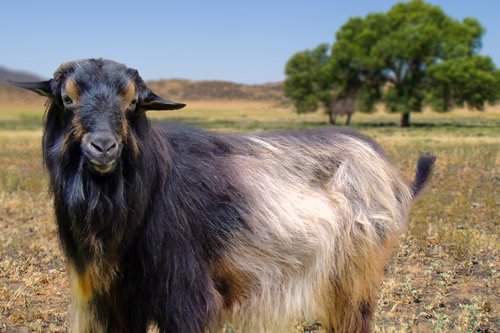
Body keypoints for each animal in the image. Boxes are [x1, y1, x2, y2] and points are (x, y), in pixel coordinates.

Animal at [10, 57, 434, 332]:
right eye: (67, 99)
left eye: (132, 103)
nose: (103, 147)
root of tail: (394, 178)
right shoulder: (118, 302)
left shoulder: (186, 296)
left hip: (353, 276)